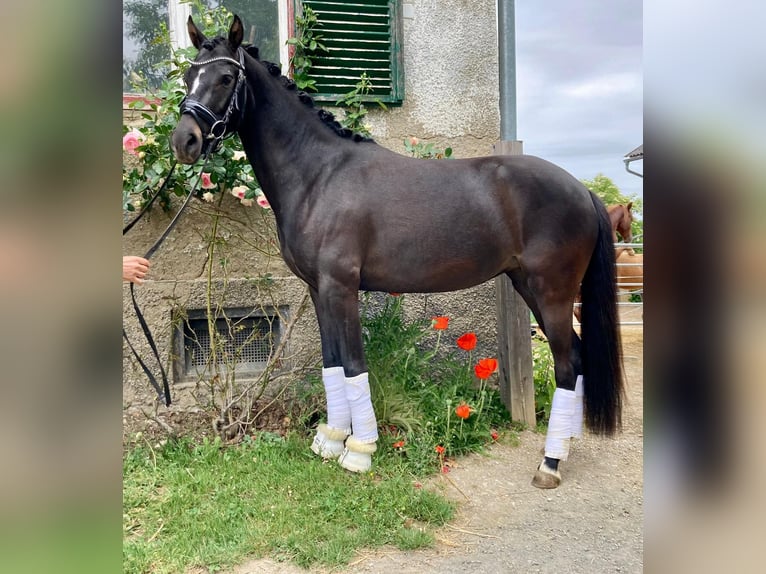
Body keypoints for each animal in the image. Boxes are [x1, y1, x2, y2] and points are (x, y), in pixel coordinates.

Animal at [170, 14, 624, 490]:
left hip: (552, 293)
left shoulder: (341, 287)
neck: (319, 175)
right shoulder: (318, 289)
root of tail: (581, 189)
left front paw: (359, 451)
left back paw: (550, 463)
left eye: (225, 78)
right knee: (576, 360)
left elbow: (353, 364)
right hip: (530, 287)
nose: (184, 141)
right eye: (188, 76)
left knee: (568, 364)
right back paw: (566, 444)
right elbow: (332, 364)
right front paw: (330, 440)